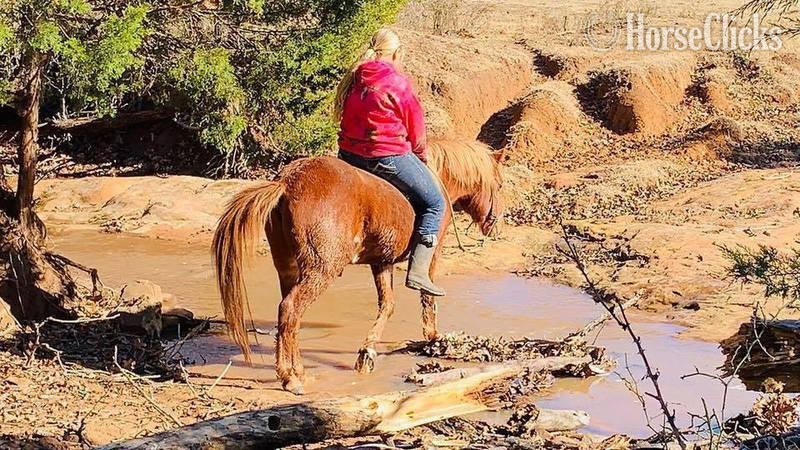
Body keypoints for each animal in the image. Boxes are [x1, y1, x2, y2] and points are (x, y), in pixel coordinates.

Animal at [212, 139, 504, 394]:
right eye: (500, 185)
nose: (496, 225)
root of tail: (287, 182)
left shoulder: (382, 262)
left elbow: (387, 305)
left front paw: (367, 353)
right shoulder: (431, 252)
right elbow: (426, 295)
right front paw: (432, 335)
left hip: (288, 267)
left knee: (288, 317)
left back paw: (298, 371)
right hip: (320, 271)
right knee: (291, 309)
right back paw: (290, 378)